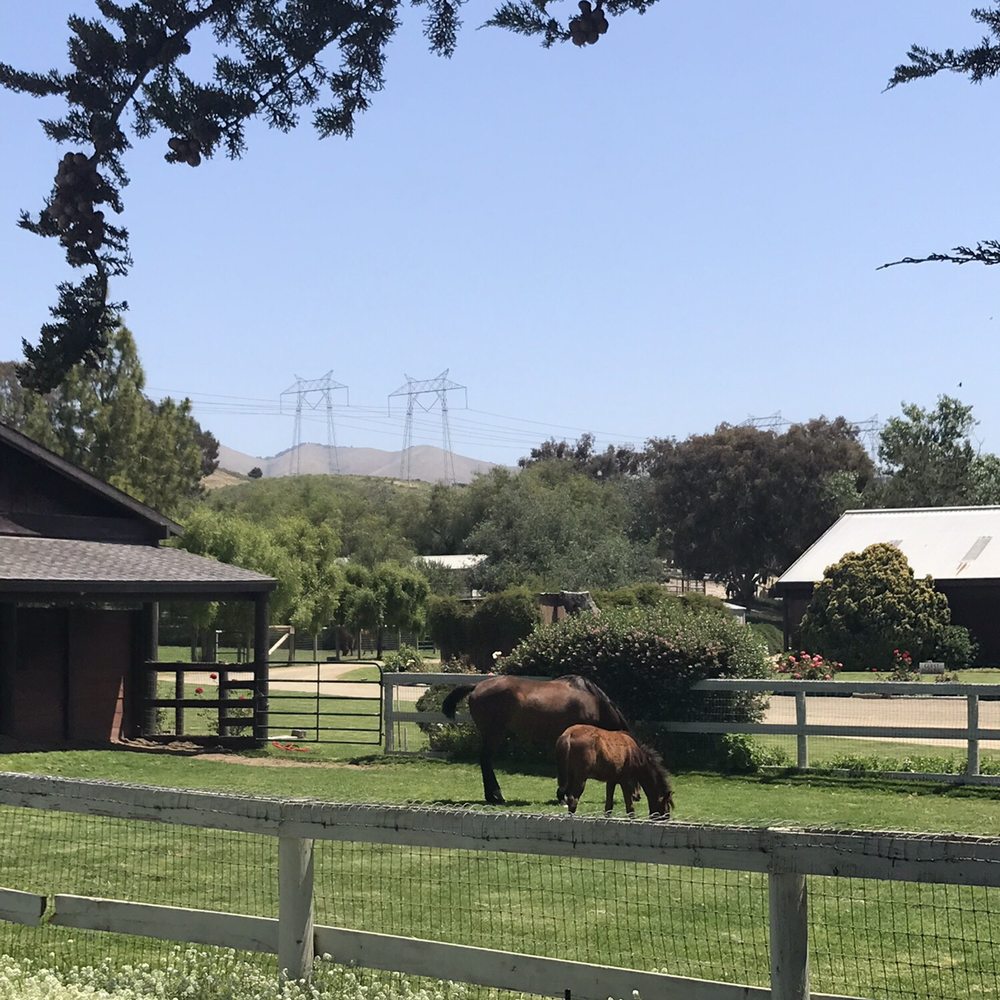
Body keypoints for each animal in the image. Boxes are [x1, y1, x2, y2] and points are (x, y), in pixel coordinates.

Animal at [441, 674, 630, 805]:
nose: (634, 797)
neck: (594, 703)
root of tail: (477, 686)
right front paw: (563, 795)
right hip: (494, 733)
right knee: (486, 760)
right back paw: (497, 796)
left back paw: (492, 796)